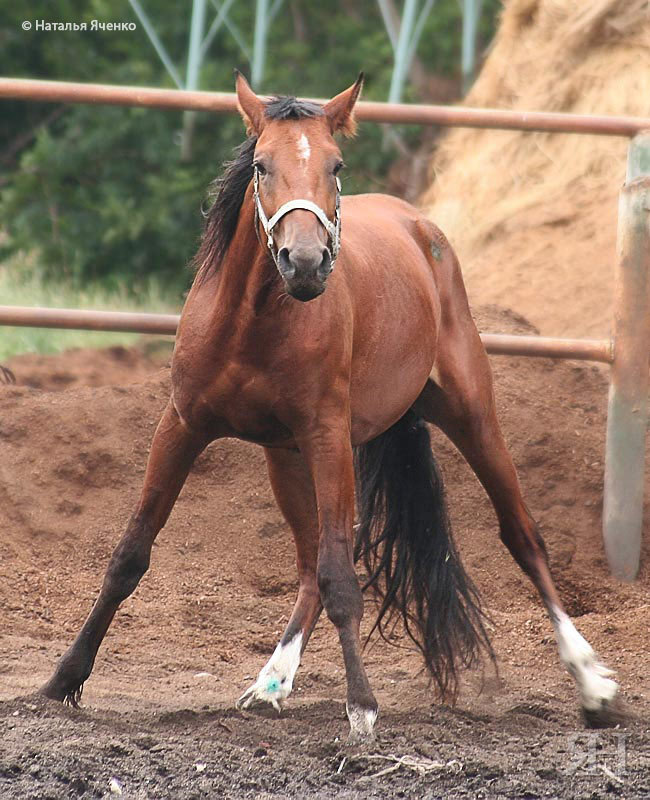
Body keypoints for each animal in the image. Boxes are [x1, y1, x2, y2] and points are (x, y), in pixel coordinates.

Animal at [40, 75, 616, 744]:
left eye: (335, 166)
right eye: (261, 165)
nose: (306, 261)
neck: (252, 324)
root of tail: (419, 227)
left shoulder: (328, 438)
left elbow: (344, 575)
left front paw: (362, 705)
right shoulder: (182, 427)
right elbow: (130, 555)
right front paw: (62, 681)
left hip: (471, 417)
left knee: (521, 536)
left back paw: (593, 684)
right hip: (286, 459)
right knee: (307, 566)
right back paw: (270, 683)